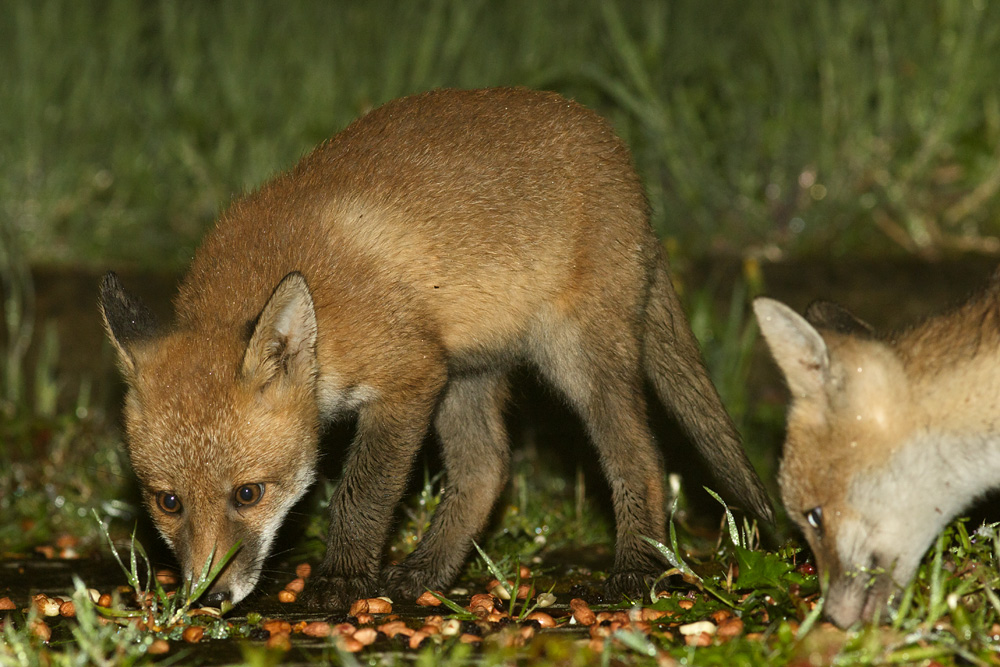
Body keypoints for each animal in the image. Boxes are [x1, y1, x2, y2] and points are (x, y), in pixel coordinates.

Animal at [99, 87, 772, 610]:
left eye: (248, 494)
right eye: (167, 502)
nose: (211, 597)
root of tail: (619, 155)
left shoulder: (409, 376)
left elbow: (361, 493)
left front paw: (343, 577)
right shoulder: (432, 374)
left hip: (573, 358)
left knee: (641, 455)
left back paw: (636, 567)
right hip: (469, 374)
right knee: (489, 467)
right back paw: (428, 572)